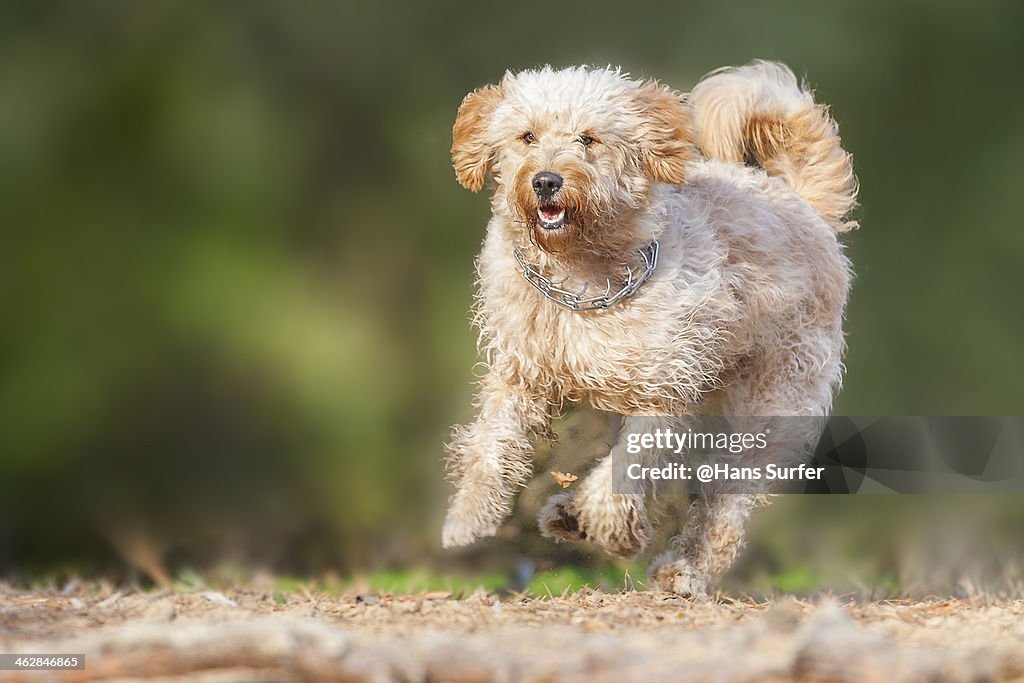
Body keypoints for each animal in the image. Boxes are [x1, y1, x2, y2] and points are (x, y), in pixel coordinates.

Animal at [440, 63, 856, 598]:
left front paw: (603, 520)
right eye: (526, 136)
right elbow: (493, 443)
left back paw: (683, 567)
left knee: (726, 503)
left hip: (769, 404)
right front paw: (467, 517)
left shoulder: (662, 393)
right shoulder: (521, 375)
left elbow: (629, 463)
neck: (580, 275)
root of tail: (804, 204)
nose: (546, 181)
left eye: (589, 138)